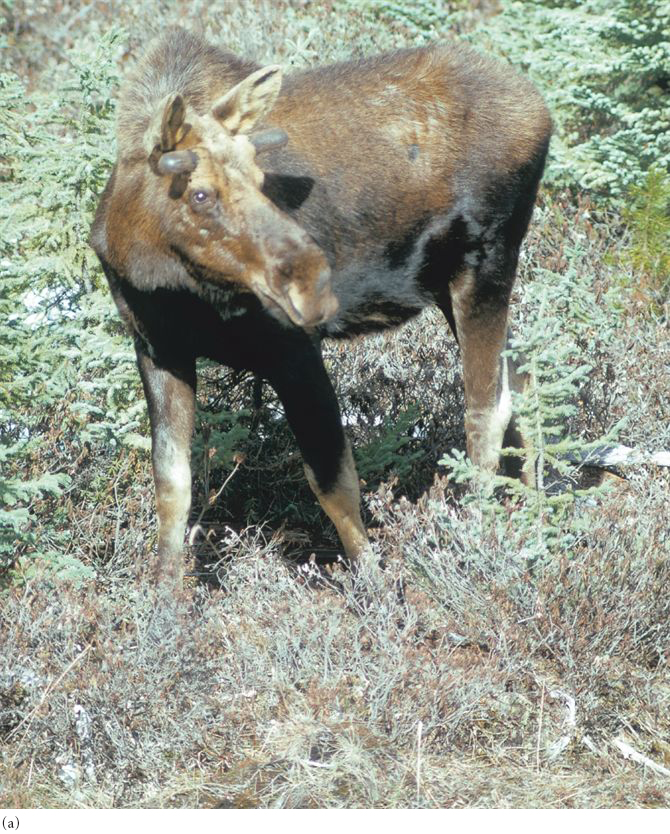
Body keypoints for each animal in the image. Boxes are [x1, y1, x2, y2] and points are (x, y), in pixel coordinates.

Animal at [90, 26, 552, 584]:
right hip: (454, 284)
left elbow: (333, 482)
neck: (160, 278)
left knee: (486, 410)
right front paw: (165, 595)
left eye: (261, 178)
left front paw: (373, 583)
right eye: (199, 194)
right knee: (523, 382)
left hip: (485, 265)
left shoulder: (292, 349)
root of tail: (541, 111)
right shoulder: (158, 349)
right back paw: (537, 518)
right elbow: (172, 484)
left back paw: (480, 545)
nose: (313, 282)